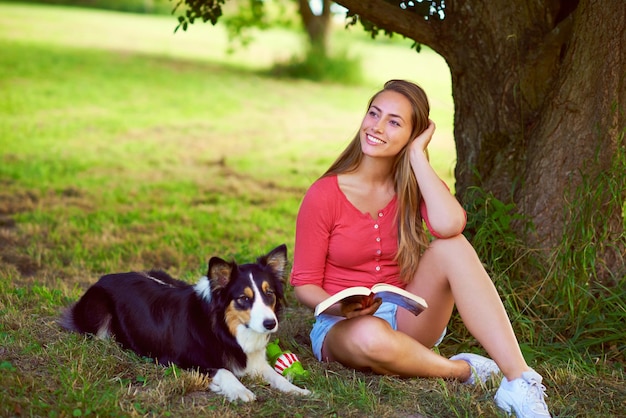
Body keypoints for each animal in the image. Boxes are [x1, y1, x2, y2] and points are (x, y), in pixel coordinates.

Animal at [59, 245, 308, 402]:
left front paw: (296, 389)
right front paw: (240, 390)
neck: (223, 329)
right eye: (243, 298)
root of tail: (104, 278)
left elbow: (274, 374)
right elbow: (224, 371)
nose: (270, 323)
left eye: (269, 293)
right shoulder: (177, 360)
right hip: (99, 312)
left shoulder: (255, 361)